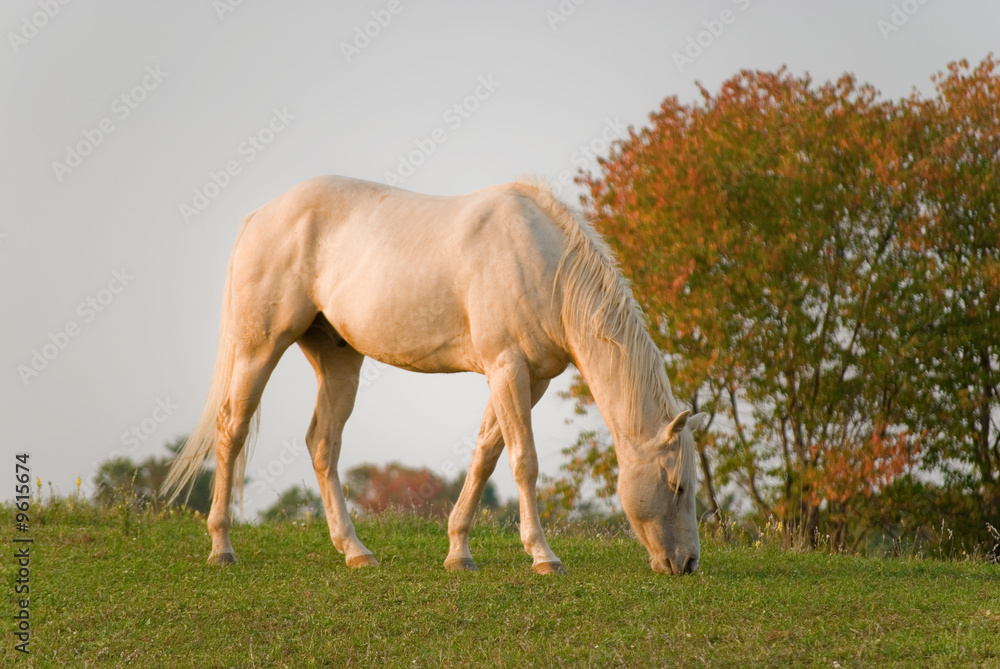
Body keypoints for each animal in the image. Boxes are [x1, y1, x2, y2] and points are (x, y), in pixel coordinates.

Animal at [164, 175, 708, 575]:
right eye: (678, 485)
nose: (686, 564)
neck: (545, 264)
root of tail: (261, 215)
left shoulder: (527, 378)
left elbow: (486, 456)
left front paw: (458, 552)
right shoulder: (507, 368)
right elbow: (524, 461)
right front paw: (542, 556)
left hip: (338, 360)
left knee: (323, 444)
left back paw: (355, 550)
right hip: (259, 349)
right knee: (231, 430)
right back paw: (221, 546)